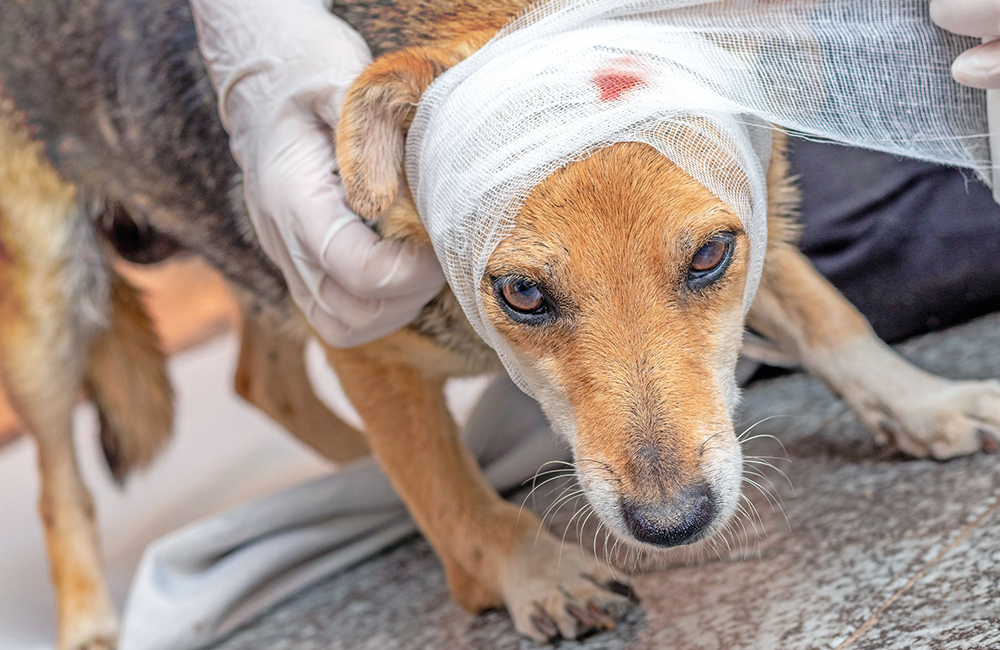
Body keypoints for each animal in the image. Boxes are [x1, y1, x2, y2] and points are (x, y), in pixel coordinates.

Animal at [1, 1, 1000, 648]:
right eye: (520, 294)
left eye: (712, 257)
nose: (673, 525)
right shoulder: (355, 330)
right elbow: (446, 488)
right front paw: (532, 570)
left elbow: (832, 316)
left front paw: (924, 402)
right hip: (48, 291)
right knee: (58, 481)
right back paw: (91, 620)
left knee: (261, 379)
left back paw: (352, 473)